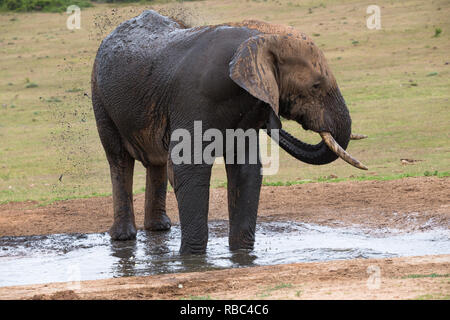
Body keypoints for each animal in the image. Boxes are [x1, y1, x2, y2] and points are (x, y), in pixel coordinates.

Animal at [90, 10, 366, 255]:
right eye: (316, 86)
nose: (274, 116)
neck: (260, 39)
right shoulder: (194, 99)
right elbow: (188, 168)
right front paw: (192, 259)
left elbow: (246, 170)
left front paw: (242, 254)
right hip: (100, 98)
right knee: (119, 159)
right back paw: (124, 236)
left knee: (155, 162)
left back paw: (159, 229)